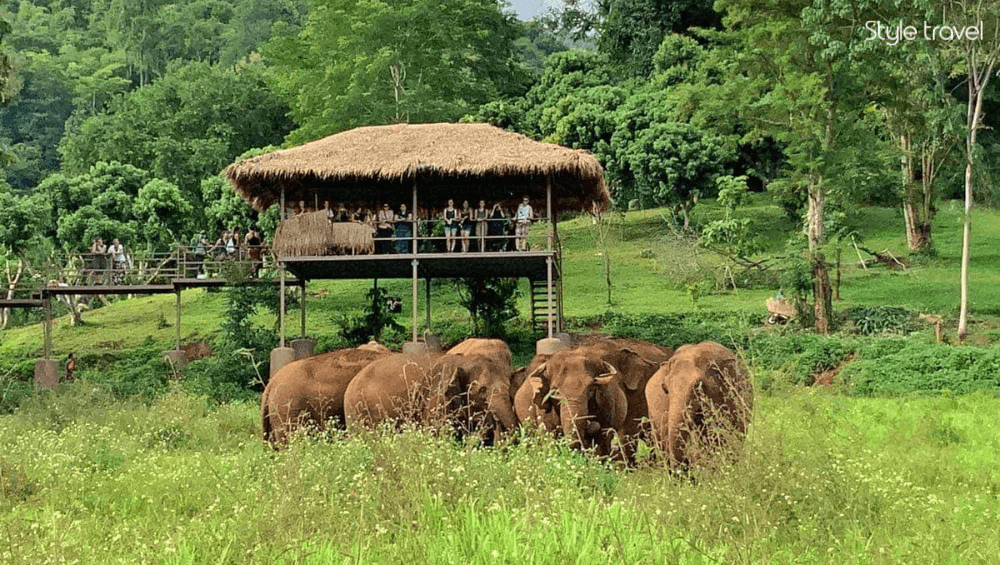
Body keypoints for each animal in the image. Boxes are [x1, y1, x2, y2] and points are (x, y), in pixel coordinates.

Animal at [343, 352, 518, 438]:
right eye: (482, 390)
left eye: (509, 387)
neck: (465, 361)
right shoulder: (436, 398)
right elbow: (438, 434)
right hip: (358, 412)